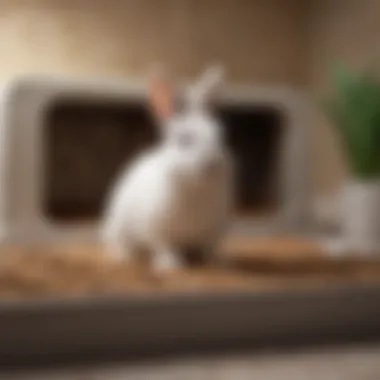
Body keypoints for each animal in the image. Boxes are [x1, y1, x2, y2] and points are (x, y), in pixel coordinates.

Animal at [102, 66, 235, 274]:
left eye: (221, 136)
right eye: (184, 140)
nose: (212, 164)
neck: (196, 190)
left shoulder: (215, 230)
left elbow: (211, 247)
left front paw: (220, 263)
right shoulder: (156, 229)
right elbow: (164, 247)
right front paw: (171, 266)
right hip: (118, 227)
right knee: (121, 244)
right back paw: (125, 257)